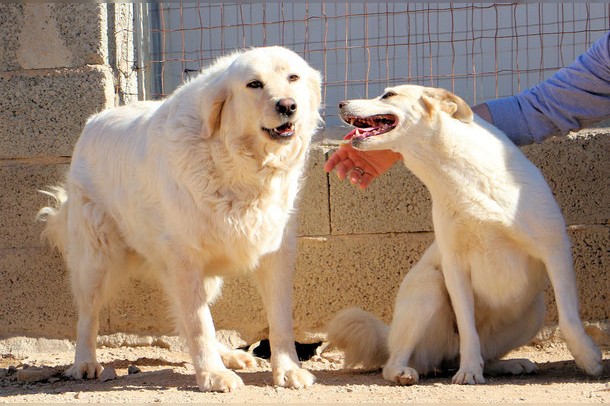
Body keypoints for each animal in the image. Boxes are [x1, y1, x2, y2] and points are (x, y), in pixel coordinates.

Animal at [37, 46, 320, 392]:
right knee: (87, 315)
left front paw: (287, 369)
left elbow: (278, 319)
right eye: (254, 84)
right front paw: (212, 375)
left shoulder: (275, 252)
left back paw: (231, 355)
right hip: (96, 260)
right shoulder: (185, 260)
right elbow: (200, 324)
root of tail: (93, 121)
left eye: (293, 77)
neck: (239, 168)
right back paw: (85, 363)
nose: (288, 106)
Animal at [326, 85, 600, 384]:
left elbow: (569, 318)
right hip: (430, 287)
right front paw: (468, 370)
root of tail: (389, 337)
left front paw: (588, 358)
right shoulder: (454, 268)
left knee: (485, 357)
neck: (457, 175)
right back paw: (404, 371)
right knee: (395, 362)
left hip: (535, 311)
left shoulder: (555, 250)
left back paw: (508, 364)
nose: (340, 103)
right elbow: (469, 330)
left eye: (389, 95)